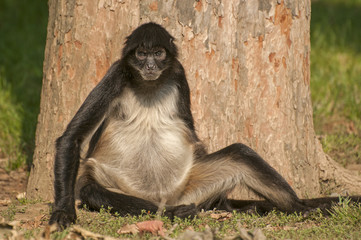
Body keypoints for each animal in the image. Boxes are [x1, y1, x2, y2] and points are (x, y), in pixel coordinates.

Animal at [49, 21, 358, 228]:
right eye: (141, 54)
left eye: (158, 54)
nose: (149, 66)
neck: (149, 85)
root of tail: (168, 197)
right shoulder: (117, 74)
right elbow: (71, 138)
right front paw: (63, 211)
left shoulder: (179, 74)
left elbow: (194, 137)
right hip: (120, 185)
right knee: (93, 191)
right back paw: (173, 213)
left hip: (190, 185)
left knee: (240, 154)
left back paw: (299, 208)